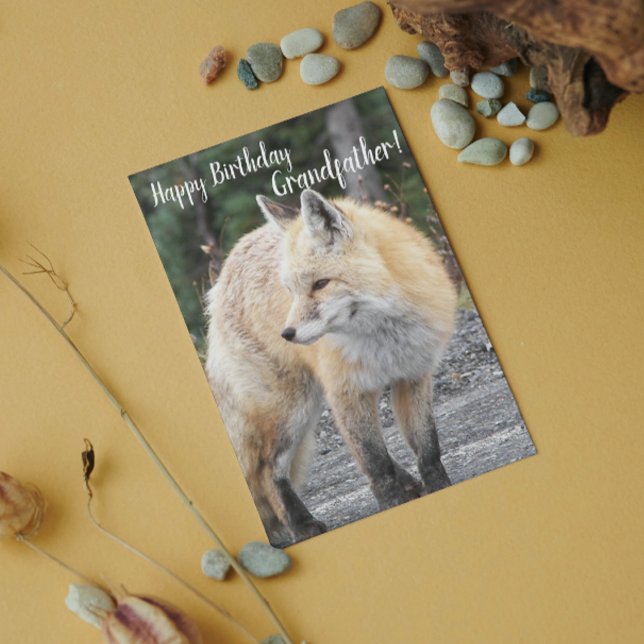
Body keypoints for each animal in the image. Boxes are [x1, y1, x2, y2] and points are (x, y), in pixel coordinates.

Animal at [205, 189, 457, 545]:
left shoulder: (412, 376)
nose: (287, 334)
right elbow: (375, 462)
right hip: (292, 408)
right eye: (291, 291)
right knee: (268, 470)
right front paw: (392, 504)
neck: (385, 339)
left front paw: (438, 487)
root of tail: (223, 273)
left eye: (320, 283)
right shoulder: (346, 391)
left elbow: (428, 448)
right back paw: (301, 525)